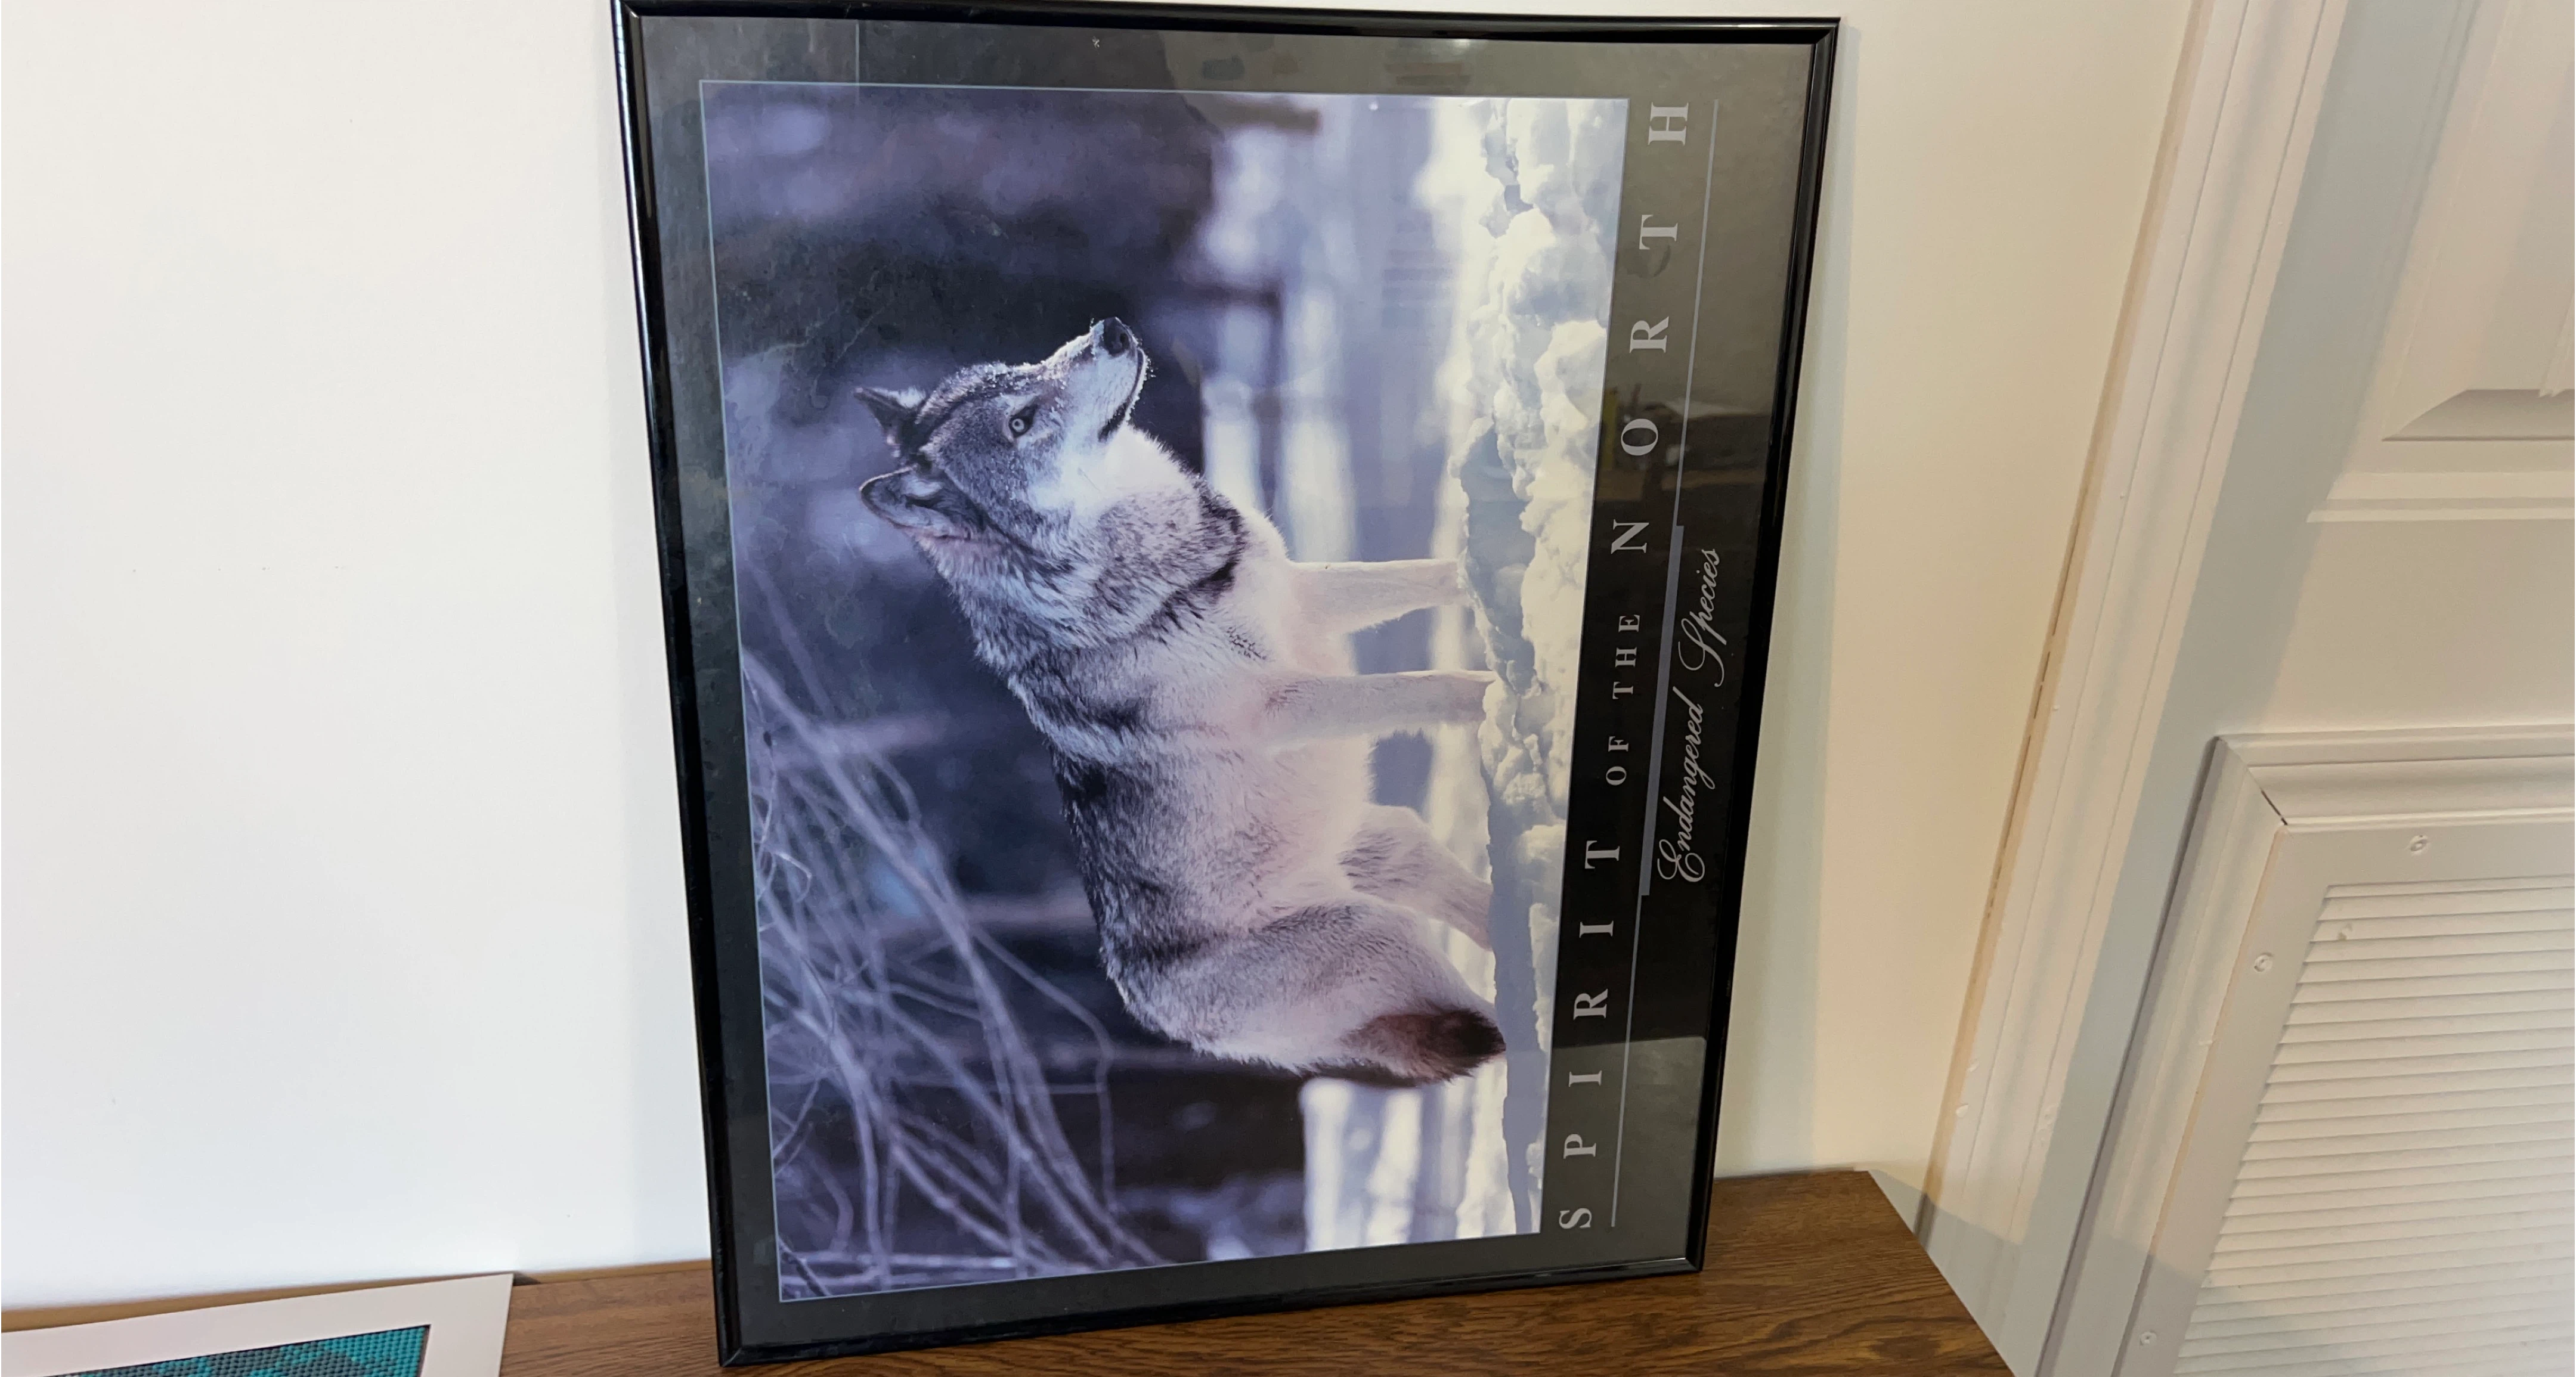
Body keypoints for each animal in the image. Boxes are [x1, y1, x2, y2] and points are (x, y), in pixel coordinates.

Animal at [856, 319, 1504, 1085]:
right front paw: (1492, 694)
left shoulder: (1304, 594)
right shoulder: (1278, 707)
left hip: (1391, 848)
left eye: (1026, 367)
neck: (1169, 564)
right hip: (1380, 933)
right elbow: (1425, 687)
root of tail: (1167, 1025)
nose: (1110, 330)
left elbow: (1435, 575)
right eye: (1020, 423)